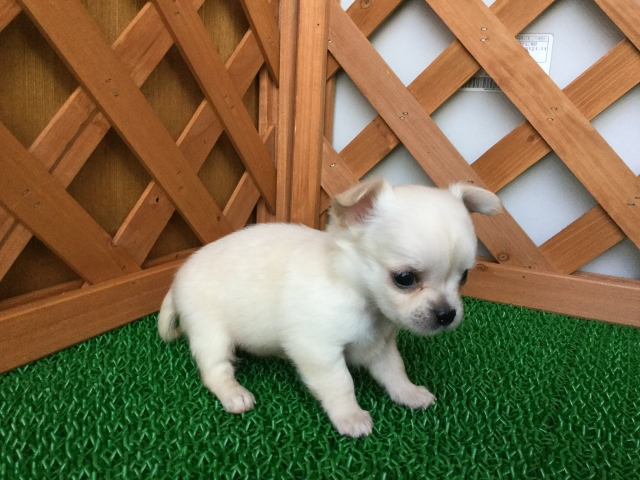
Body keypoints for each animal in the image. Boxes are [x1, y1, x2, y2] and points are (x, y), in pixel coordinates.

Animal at [158, 179, 502, 437]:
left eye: (464, 276)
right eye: (404, 278)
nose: (447, 314)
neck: (362, 301)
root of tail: (175, 279)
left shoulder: (380, 347)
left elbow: (395, 371)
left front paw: (409, 393)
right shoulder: (319, 351)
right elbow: (341, 383)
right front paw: (350, 416)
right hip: (211, 334)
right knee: (215, 370)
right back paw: (233, 393)